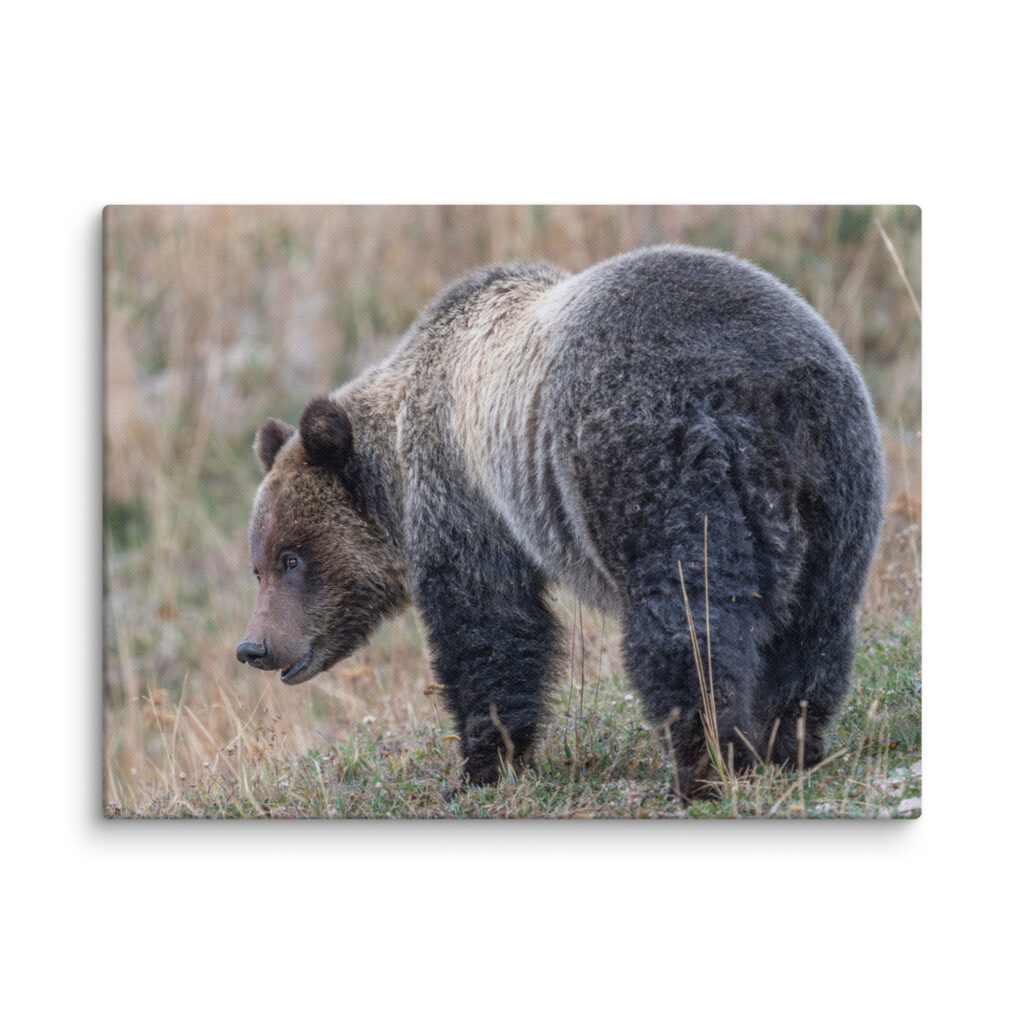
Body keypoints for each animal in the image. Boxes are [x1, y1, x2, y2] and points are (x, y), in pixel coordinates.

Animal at [236, 245, 885, 798]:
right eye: (258, 565)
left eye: (292, 557)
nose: (254, 646)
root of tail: (760, 386)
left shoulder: (466, 496)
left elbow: (489, 627)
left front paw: (481, 765)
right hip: (837, 481)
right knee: (814, 625)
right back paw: (789, 746)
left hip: (654, 462)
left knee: (688, 622)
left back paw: (706, 766)